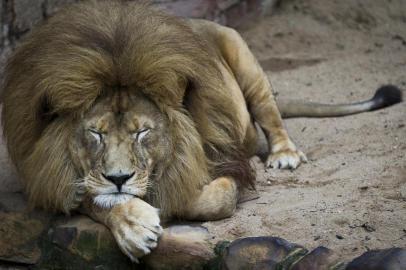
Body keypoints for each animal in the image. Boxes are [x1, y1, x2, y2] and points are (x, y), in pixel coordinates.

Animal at [0, 0, 402, 262]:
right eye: (96, 134)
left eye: (142, 133)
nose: (118, 177)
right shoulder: (47, 170)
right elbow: (93, 197)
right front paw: (134, 224)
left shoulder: (224, 161)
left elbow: (208, 198)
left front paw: (158, 204)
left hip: (244, 58)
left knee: (271, 114)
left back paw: (284, 154)